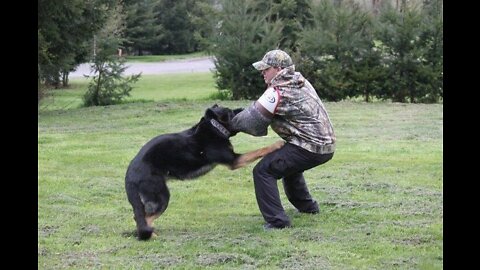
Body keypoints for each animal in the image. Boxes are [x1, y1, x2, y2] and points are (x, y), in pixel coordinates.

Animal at [124, 104, 284, 240]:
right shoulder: (234, 160)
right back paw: (152, 235)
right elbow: (259, 150)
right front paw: (276, 144)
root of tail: (130, 175)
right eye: (231, 112)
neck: (215, 128)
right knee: (145, 217)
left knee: (139, 217)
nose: (245, 108)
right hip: (161, 196)